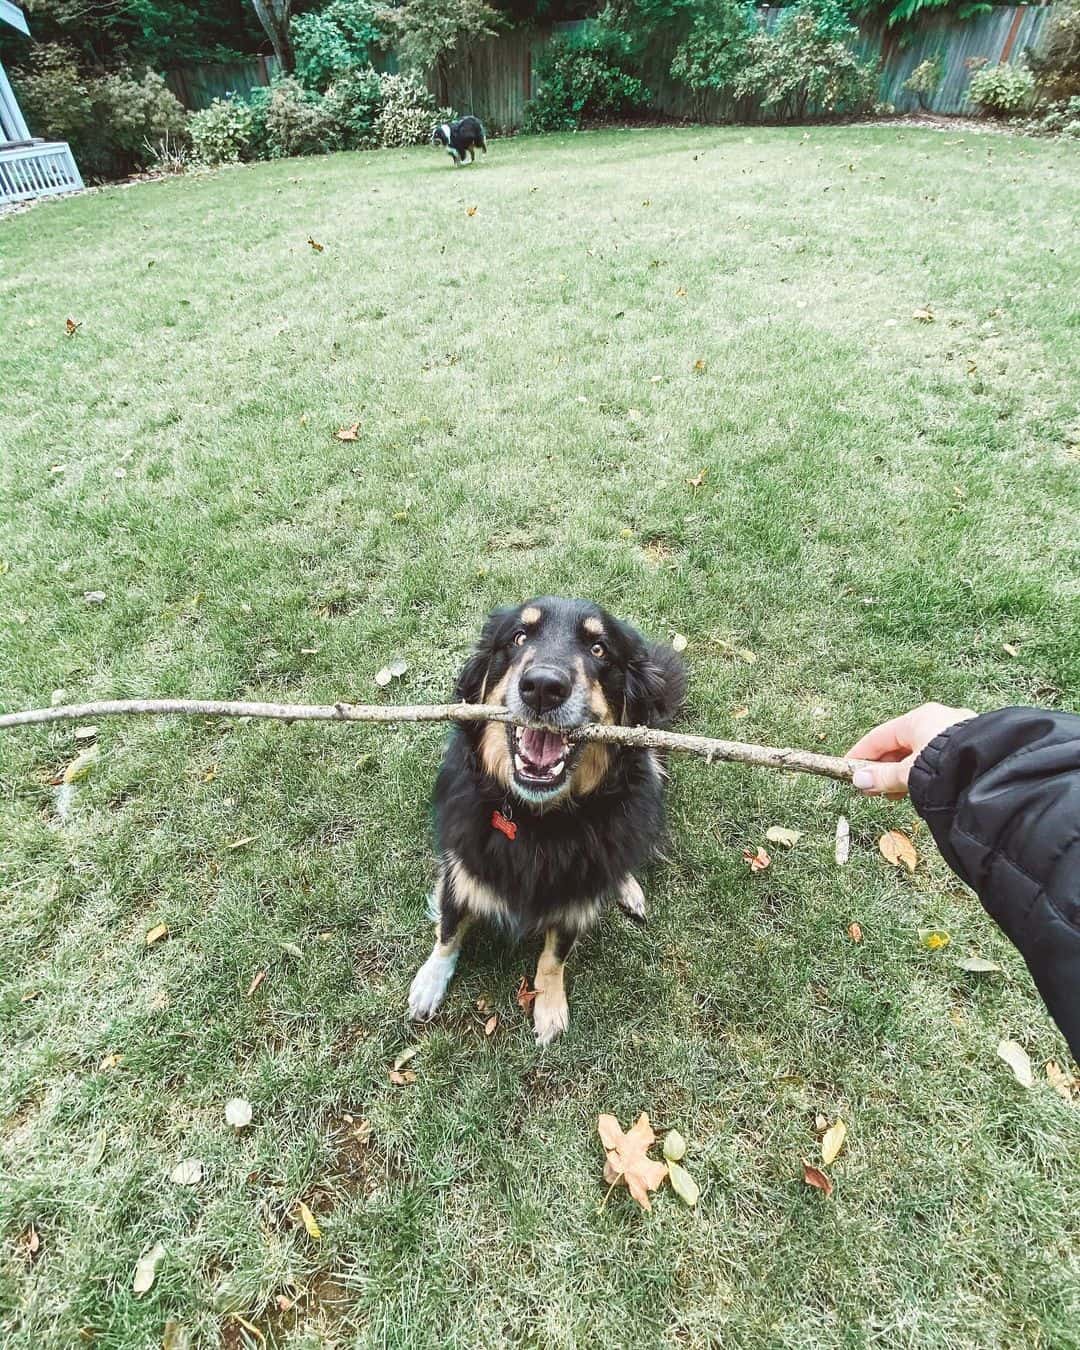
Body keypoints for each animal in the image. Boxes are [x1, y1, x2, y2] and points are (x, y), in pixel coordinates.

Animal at [405, 596, 683, 1047]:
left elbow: (554, 957)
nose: (542, 687)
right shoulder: (459, 865)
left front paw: (549, 1005)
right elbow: (448, 928)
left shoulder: (574, 898)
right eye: (519, 637)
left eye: (599, 649)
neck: (536, 821)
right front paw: (431, 981)